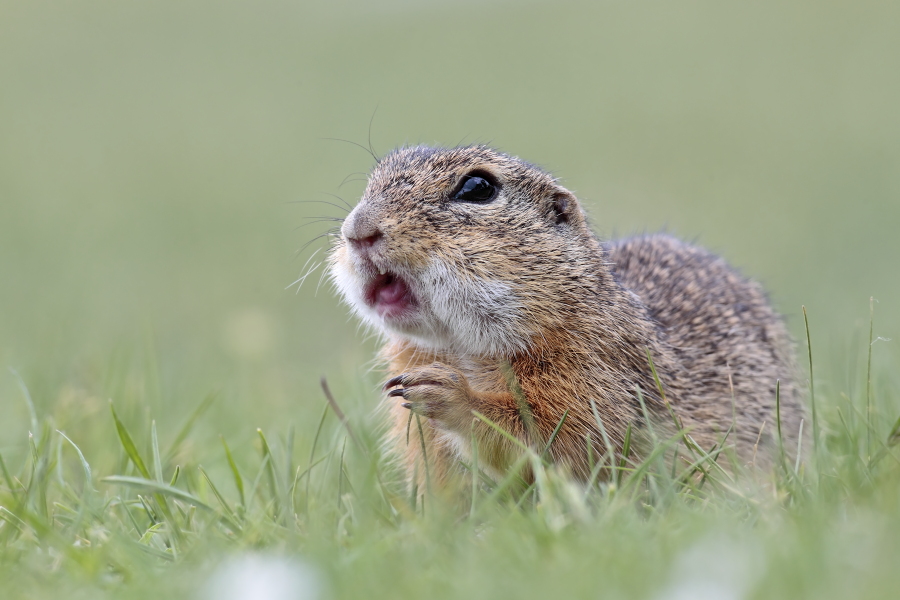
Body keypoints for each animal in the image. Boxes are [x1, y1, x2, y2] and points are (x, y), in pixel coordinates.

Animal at [329, 145, 804, 489]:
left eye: (478, 187)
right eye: (374, 179)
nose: (358, 230)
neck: (460, 348)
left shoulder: (593, 373)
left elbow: (562, 442)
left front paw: (451, 395)